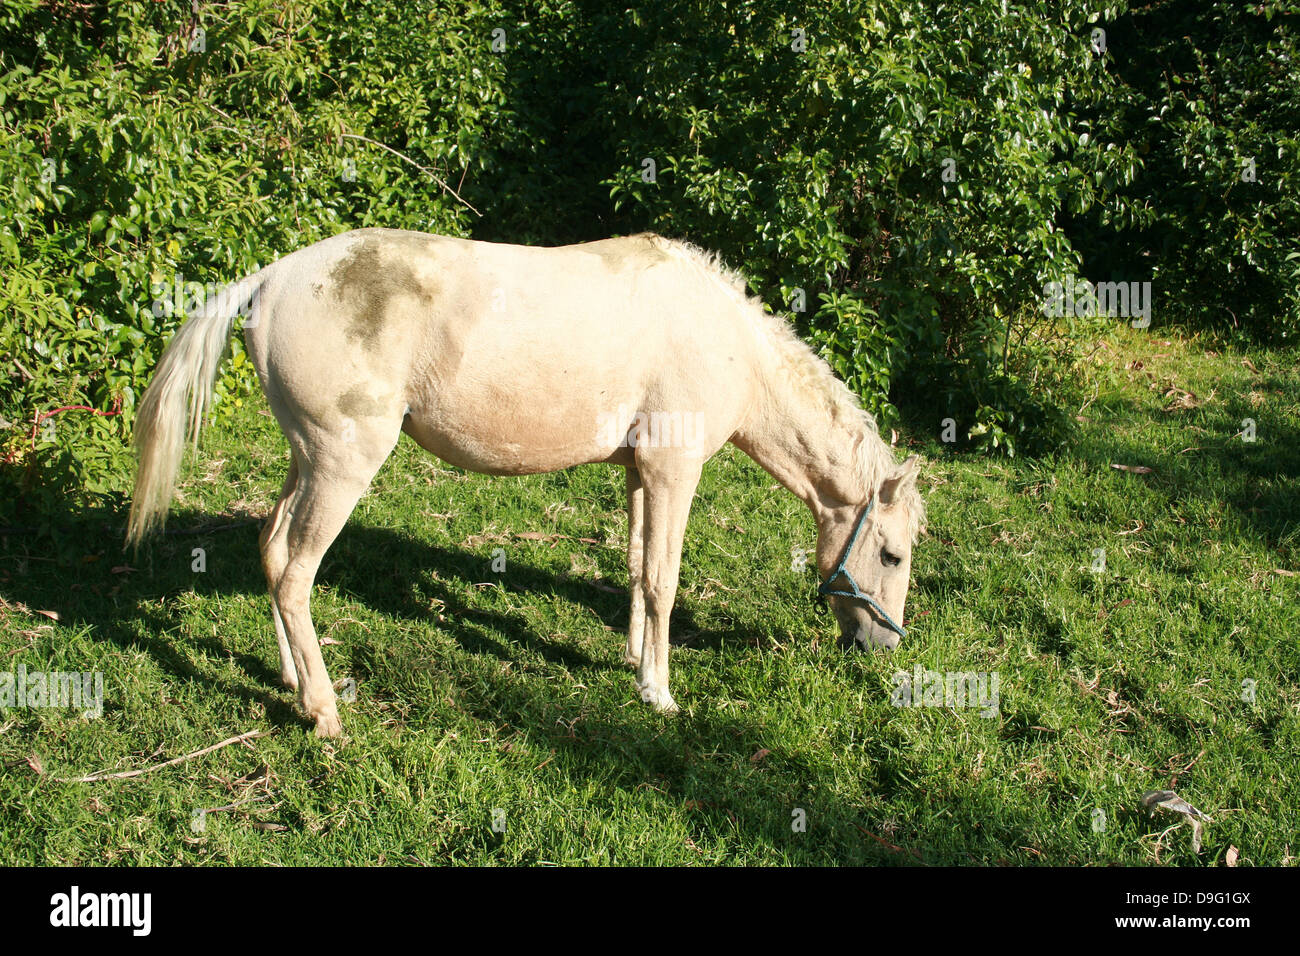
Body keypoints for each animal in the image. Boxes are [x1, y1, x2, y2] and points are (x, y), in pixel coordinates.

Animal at [126, 227, 925, 738]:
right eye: (891, 555)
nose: (884, 647)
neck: (728, 341)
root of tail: (269, 279)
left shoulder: (642, 474)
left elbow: (635, 568)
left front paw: (633, 660)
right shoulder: (674, 471)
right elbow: (663, 580)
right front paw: (659, 693)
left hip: (305, 460)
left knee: (270, 549)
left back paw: (293, 682)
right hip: (341, 466)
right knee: (295, 573)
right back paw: (323, 712)